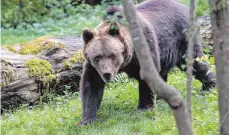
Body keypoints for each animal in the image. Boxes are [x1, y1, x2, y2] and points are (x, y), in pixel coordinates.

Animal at [79, 0, 216, 125]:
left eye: (112, 55)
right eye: (97, 57)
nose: (107, 74)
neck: (128, 59)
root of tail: (184, 7)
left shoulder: (144, 49)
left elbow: (147, 79)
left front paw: (144, 108)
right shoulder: (93, 68)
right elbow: (91, 85)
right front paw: (87, 120)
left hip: (183, 39)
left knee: (196, 63)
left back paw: (208, 86)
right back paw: (162, 97)